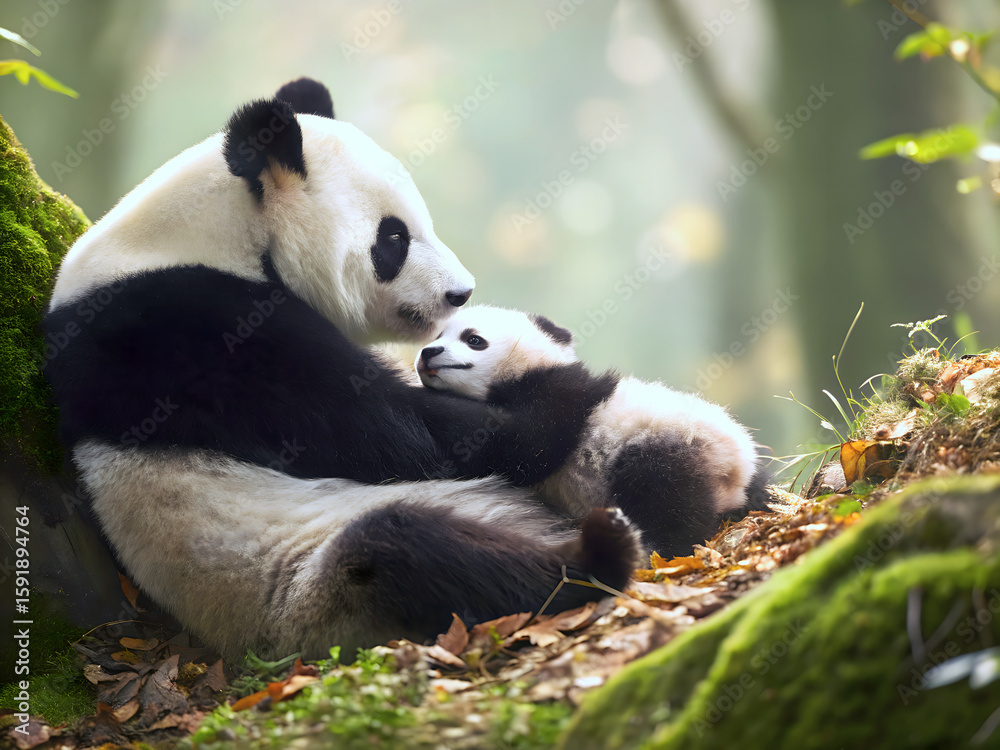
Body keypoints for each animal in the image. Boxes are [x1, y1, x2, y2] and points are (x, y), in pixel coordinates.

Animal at [43, 78, 640, 661]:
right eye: (394, 238)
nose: (460, 293)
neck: (209, 235)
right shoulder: (196, 334)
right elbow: (405, 439)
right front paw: (569, 386)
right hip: (303, 592)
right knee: (408, 545)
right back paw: (599, 555)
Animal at [416, 305, 771, 557]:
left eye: (473, 339)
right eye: (436, 336)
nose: (428, 353)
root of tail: (733, 473)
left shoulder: (560, 394)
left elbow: (525, 444)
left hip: (669, 442)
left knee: (663, 493)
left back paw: (654, 547)